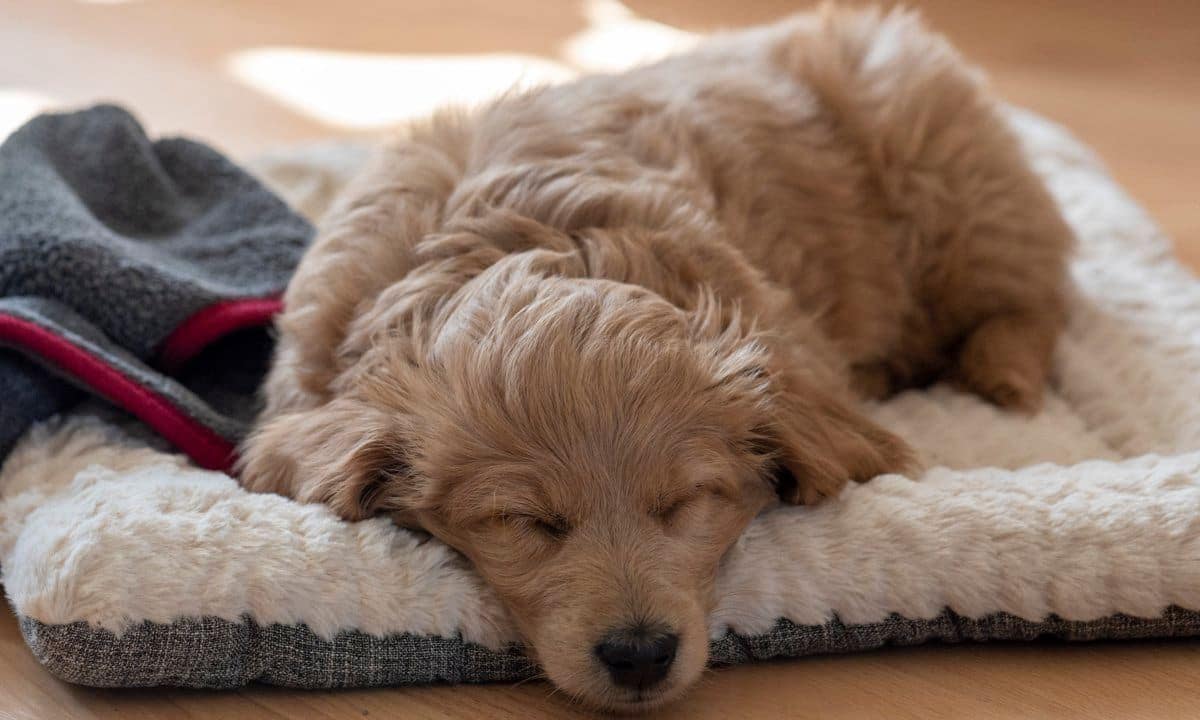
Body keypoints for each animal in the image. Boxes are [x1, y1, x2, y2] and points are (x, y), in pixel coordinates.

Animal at [238, 5, 1075, 710]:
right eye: (524, 520)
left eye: (686, 502)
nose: (639, 655)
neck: (528, 240)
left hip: (956, 186)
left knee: (1031, 293)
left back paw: (1002, 373)